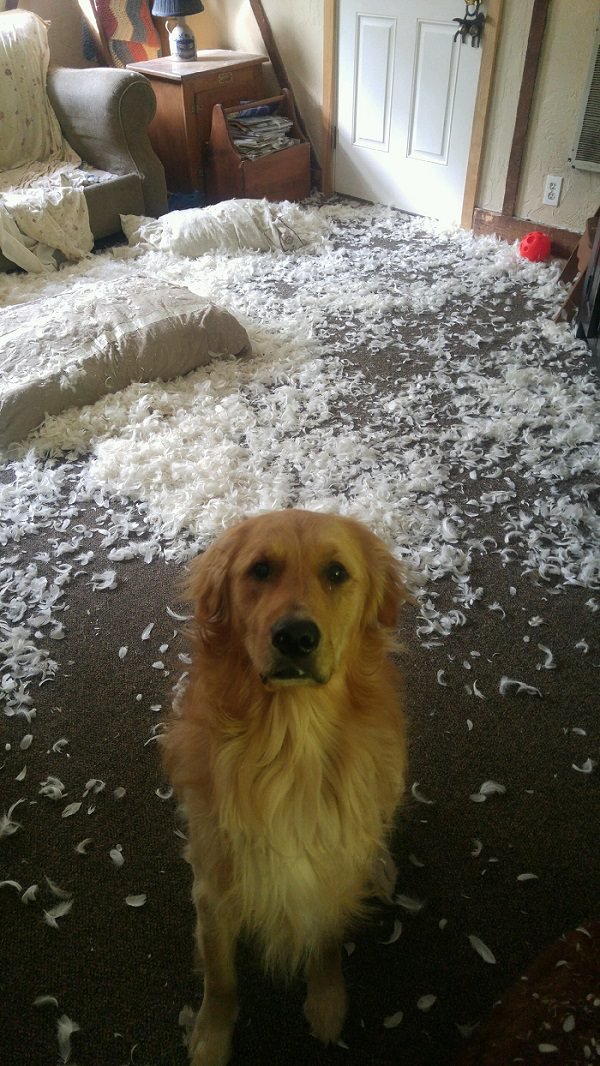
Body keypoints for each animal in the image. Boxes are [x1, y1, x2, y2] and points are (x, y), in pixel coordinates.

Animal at [164, 509, 409, 1066]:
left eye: (336, 573)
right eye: (260, 569)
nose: (295, 637)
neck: (289, 743)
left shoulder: (331, 871)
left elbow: (326, 941)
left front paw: (327, 999)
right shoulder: (214, 888)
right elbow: (221, 978)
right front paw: (212, 1035)